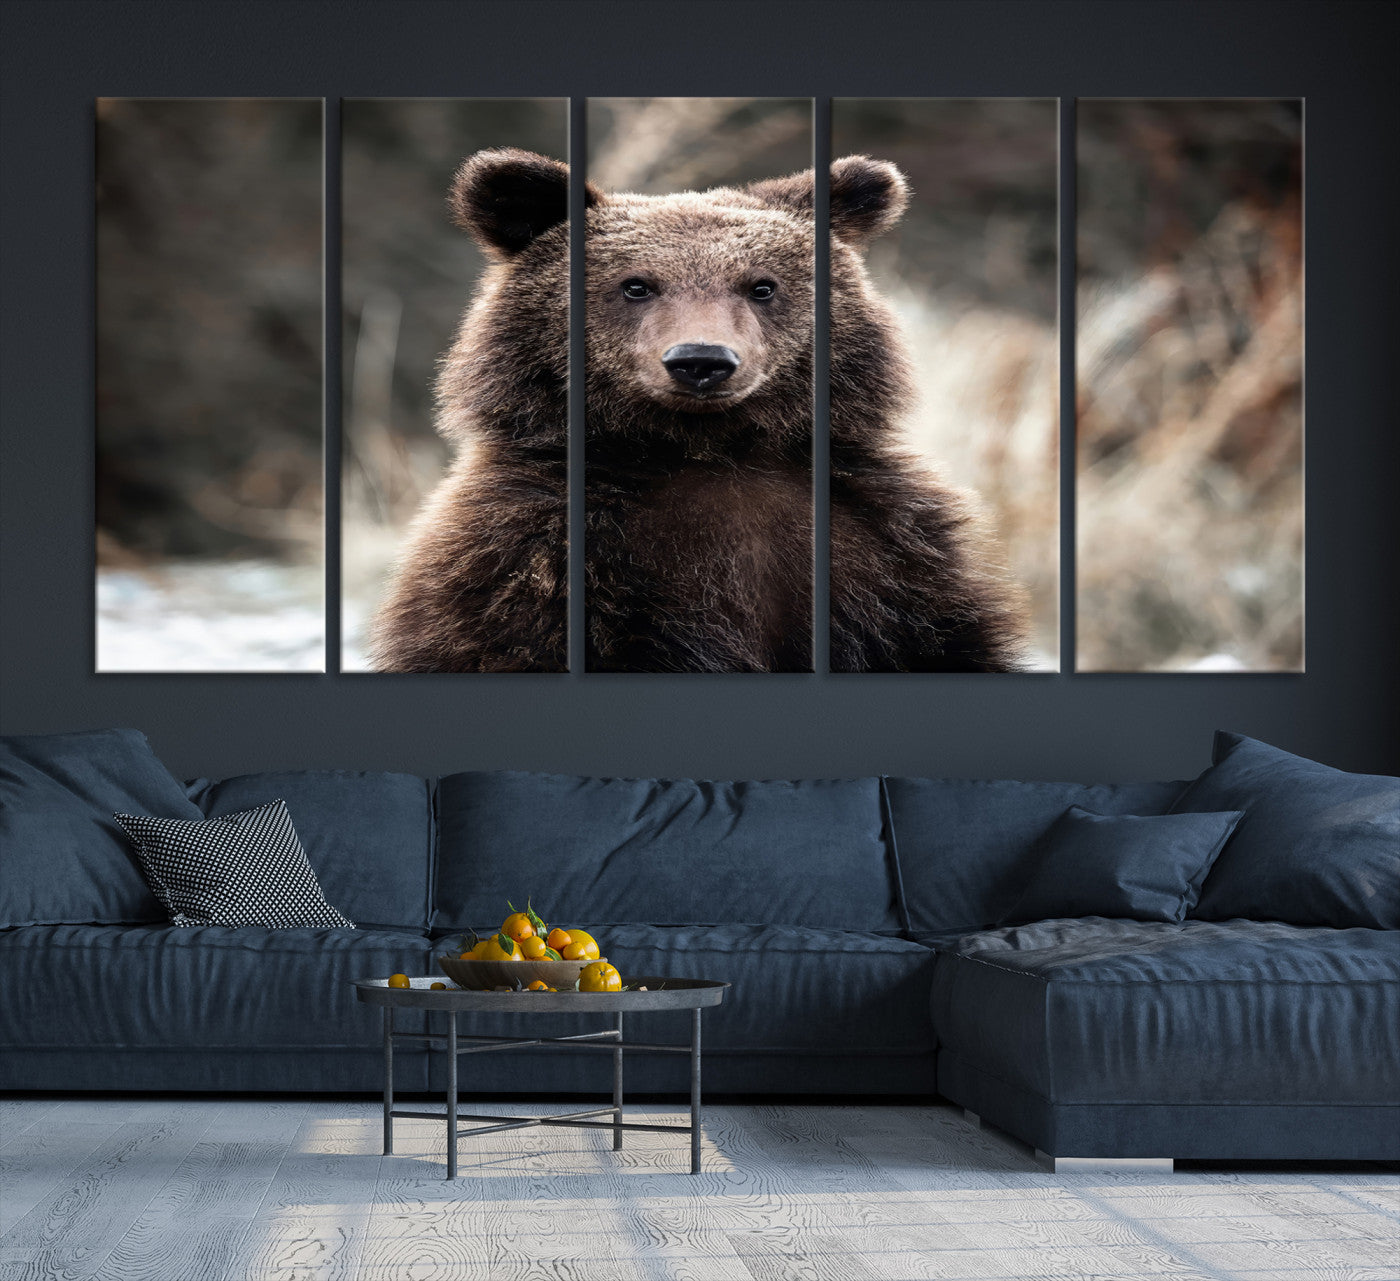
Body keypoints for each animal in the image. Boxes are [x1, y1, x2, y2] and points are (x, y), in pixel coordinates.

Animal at [369, 148, 1027, 673]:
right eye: (636, 284)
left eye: (761, 285)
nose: (701, 360)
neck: (706, 451)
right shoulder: (533, 562)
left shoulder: (886, 556)